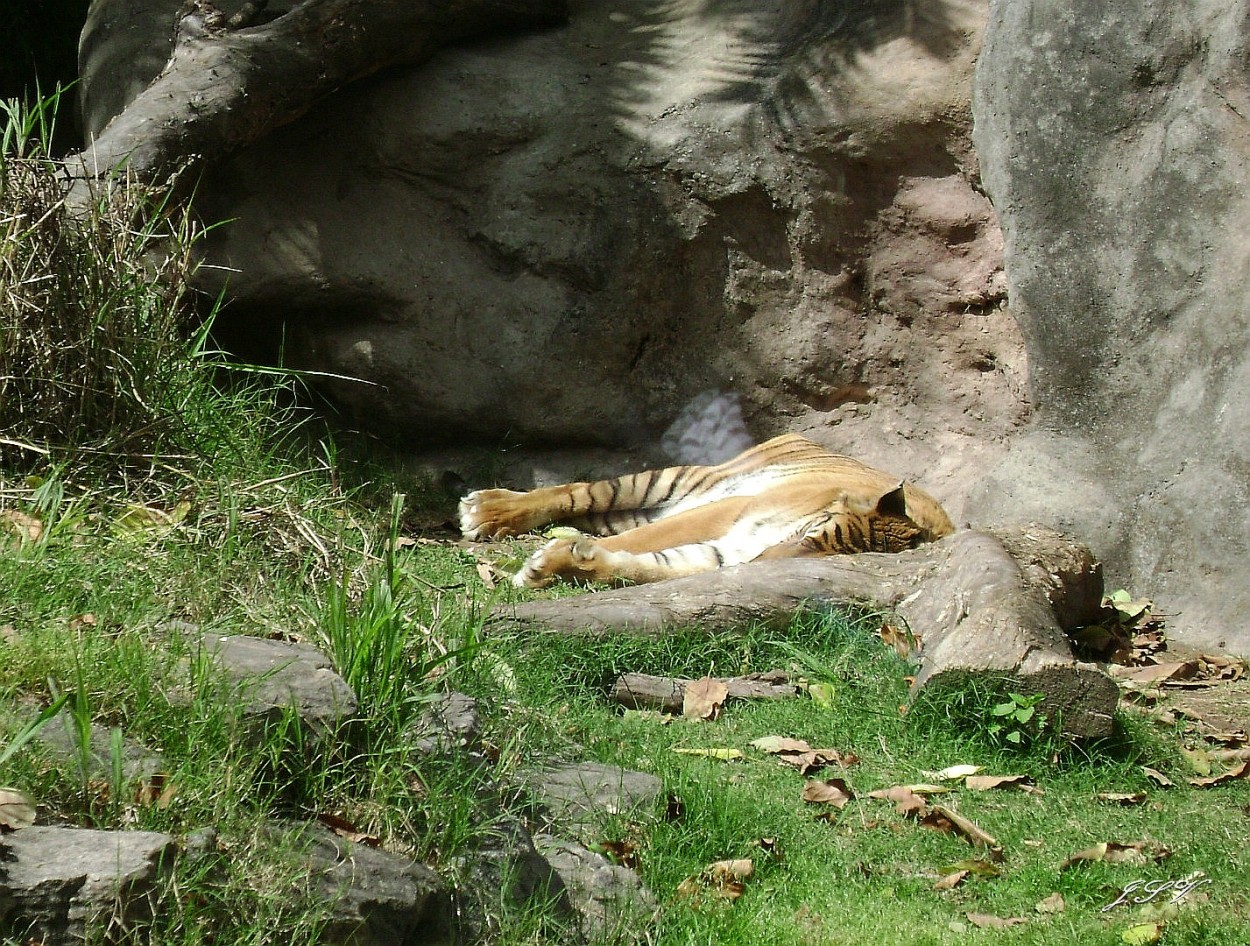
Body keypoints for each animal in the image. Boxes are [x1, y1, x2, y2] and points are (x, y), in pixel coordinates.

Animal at [460, 432, 955, 582]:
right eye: (811, 537)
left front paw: (556, 564)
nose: (761, 565)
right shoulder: (730, 510)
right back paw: (484, 511)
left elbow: (645, 566)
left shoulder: (720, 551)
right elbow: (645, 542)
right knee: (576, 491)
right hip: (666, 481)